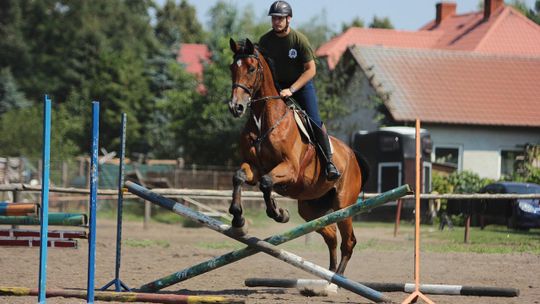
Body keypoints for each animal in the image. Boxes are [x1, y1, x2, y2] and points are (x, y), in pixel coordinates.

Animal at [226, 38, 370, 276]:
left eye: (251, 68)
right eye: (232, 68)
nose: (235, 107)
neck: (263, 121)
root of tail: (353, 155)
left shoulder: (290, 170)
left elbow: (266, 183)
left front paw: (279, 213)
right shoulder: (255, 167)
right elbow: (239, 176)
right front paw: (238, 218)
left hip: (343, 205)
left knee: (348, 241)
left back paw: (337, 278)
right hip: (310, 207)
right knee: (331, 234)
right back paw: (328, 274)